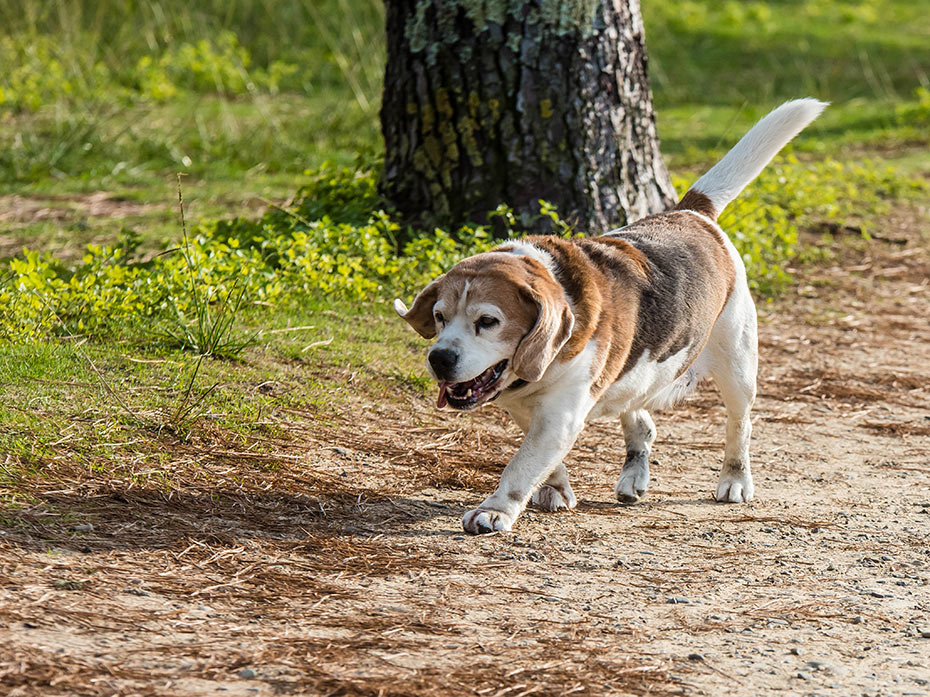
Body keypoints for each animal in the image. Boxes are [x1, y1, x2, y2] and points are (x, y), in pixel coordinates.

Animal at [396, 98, 824, 532]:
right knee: (643, 424)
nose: (439, 359)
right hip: (640, 374)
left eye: (487, 321)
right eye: (440, 317)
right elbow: (542, 461)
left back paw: (735, 479)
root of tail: (692, 213)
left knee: (740, 425)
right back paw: (634, 475)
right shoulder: (529, 410)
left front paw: (495, 510)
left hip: (737, 366)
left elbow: (520, 465)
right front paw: (555, 488)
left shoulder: (561, 414)